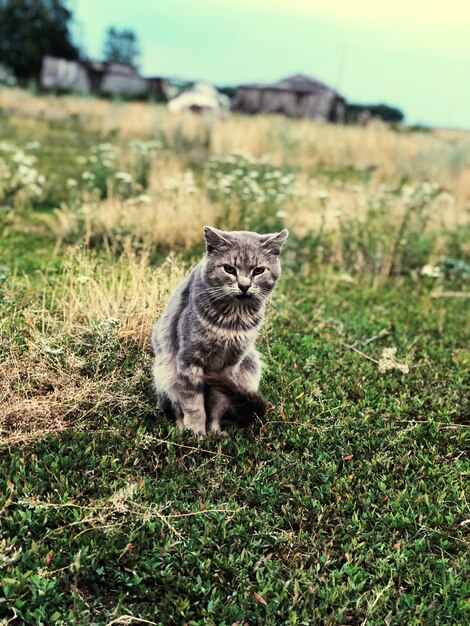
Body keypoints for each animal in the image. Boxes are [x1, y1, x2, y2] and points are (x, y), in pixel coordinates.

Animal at [152, 224, 288, 434]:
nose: (244, 286)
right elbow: (194, 404)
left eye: (258, 270)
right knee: (175, 407)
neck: (232, 321)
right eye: (229, 269)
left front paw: (214, 431)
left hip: (249, 367)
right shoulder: (189, 360)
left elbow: (217, 403)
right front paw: (197, 434)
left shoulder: (229, 367)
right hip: (165, 371)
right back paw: (181, 428)